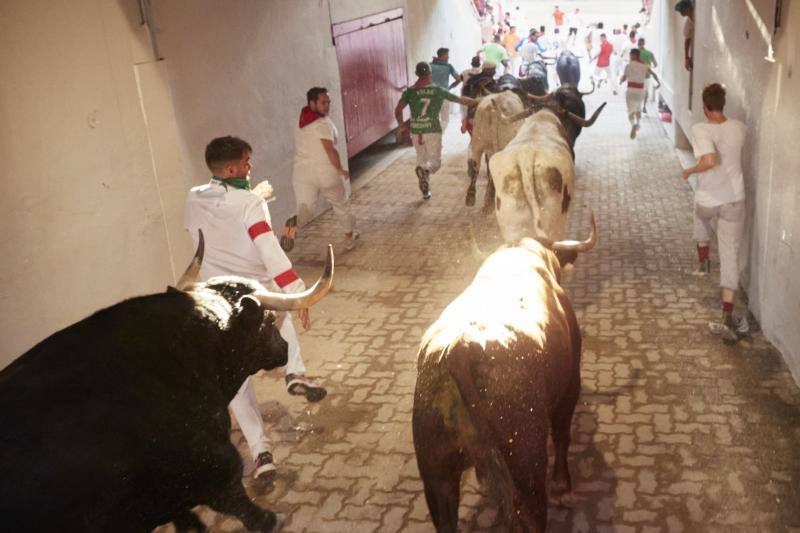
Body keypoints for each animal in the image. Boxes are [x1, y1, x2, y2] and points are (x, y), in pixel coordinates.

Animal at [412, 213, 592, 532]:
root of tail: (460, 348)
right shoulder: (571, 385)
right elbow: (562, 435)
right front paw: (562, 488)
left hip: (436, 475)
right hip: (525, 467)